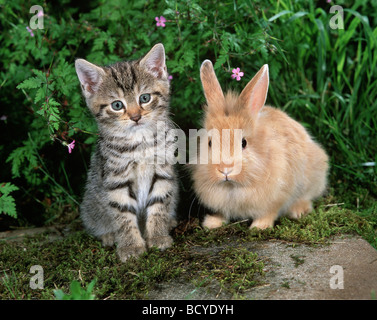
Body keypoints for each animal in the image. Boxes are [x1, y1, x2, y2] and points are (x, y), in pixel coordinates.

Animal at [75, 43, 178, 262]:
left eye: (145, 98)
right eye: (117, 105)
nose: (136, 116)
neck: (140, 143)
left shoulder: (162, 171)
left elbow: (159, 204)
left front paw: (157, 236)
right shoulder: (116, 180)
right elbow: (122, 214)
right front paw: (131, 246)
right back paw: (108, 235)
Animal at [192, 60, 328, 230]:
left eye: (243, 143)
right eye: (210, 143)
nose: (225, 170)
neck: (233, 186)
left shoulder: (276, 197)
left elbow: (268, 213)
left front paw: (259, 227)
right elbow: (222, 213)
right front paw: (212, 223)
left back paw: (297, 212)